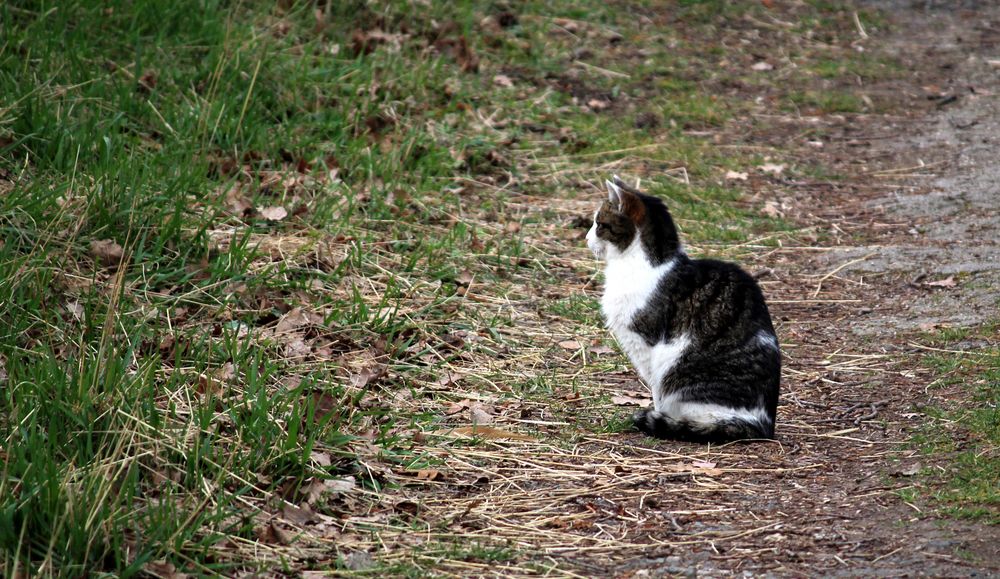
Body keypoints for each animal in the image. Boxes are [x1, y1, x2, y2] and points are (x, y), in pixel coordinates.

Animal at [584, 177, 780, 444]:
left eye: (599, 223)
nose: (585, 238)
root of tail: (764, 426)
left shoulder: (647, 344)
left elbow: (656, 390)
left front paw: (658, 416)